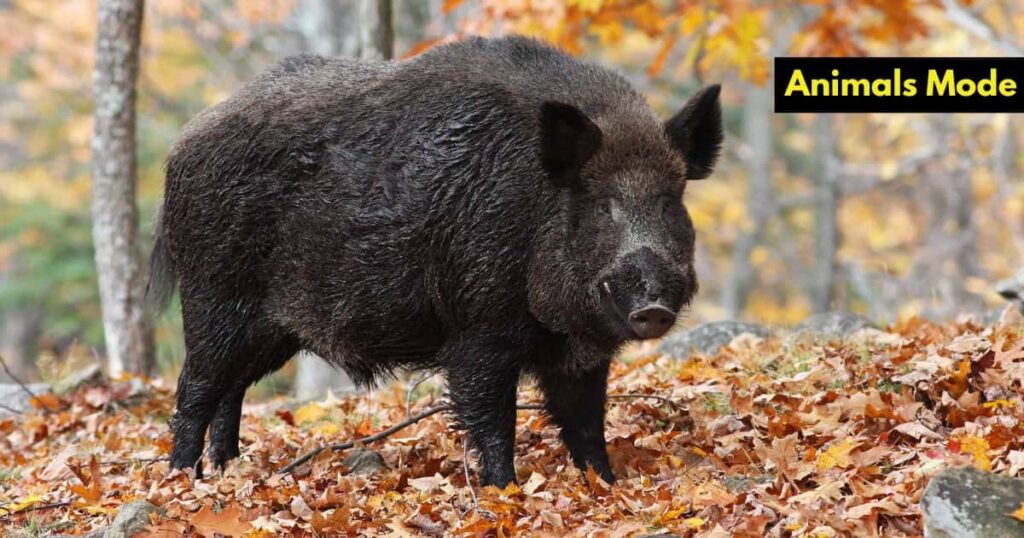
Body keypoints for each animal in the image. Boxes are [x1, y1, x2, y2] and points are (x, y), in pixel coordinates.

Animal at [149, 36, 722, 487]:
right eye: (603, 205)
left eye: (670, 202)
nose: (653, 306)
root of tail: (181, 146)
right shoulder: (478, 329)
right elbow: (491, 417)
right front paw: (503, 491)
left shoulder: (579, 354)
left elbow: (585, 422)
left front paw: (604, 484)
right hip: (214, 295)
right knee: (195, 387)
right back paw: (183, 480)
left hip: (272, 330)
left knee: (232, 389)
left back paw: (227, 469)